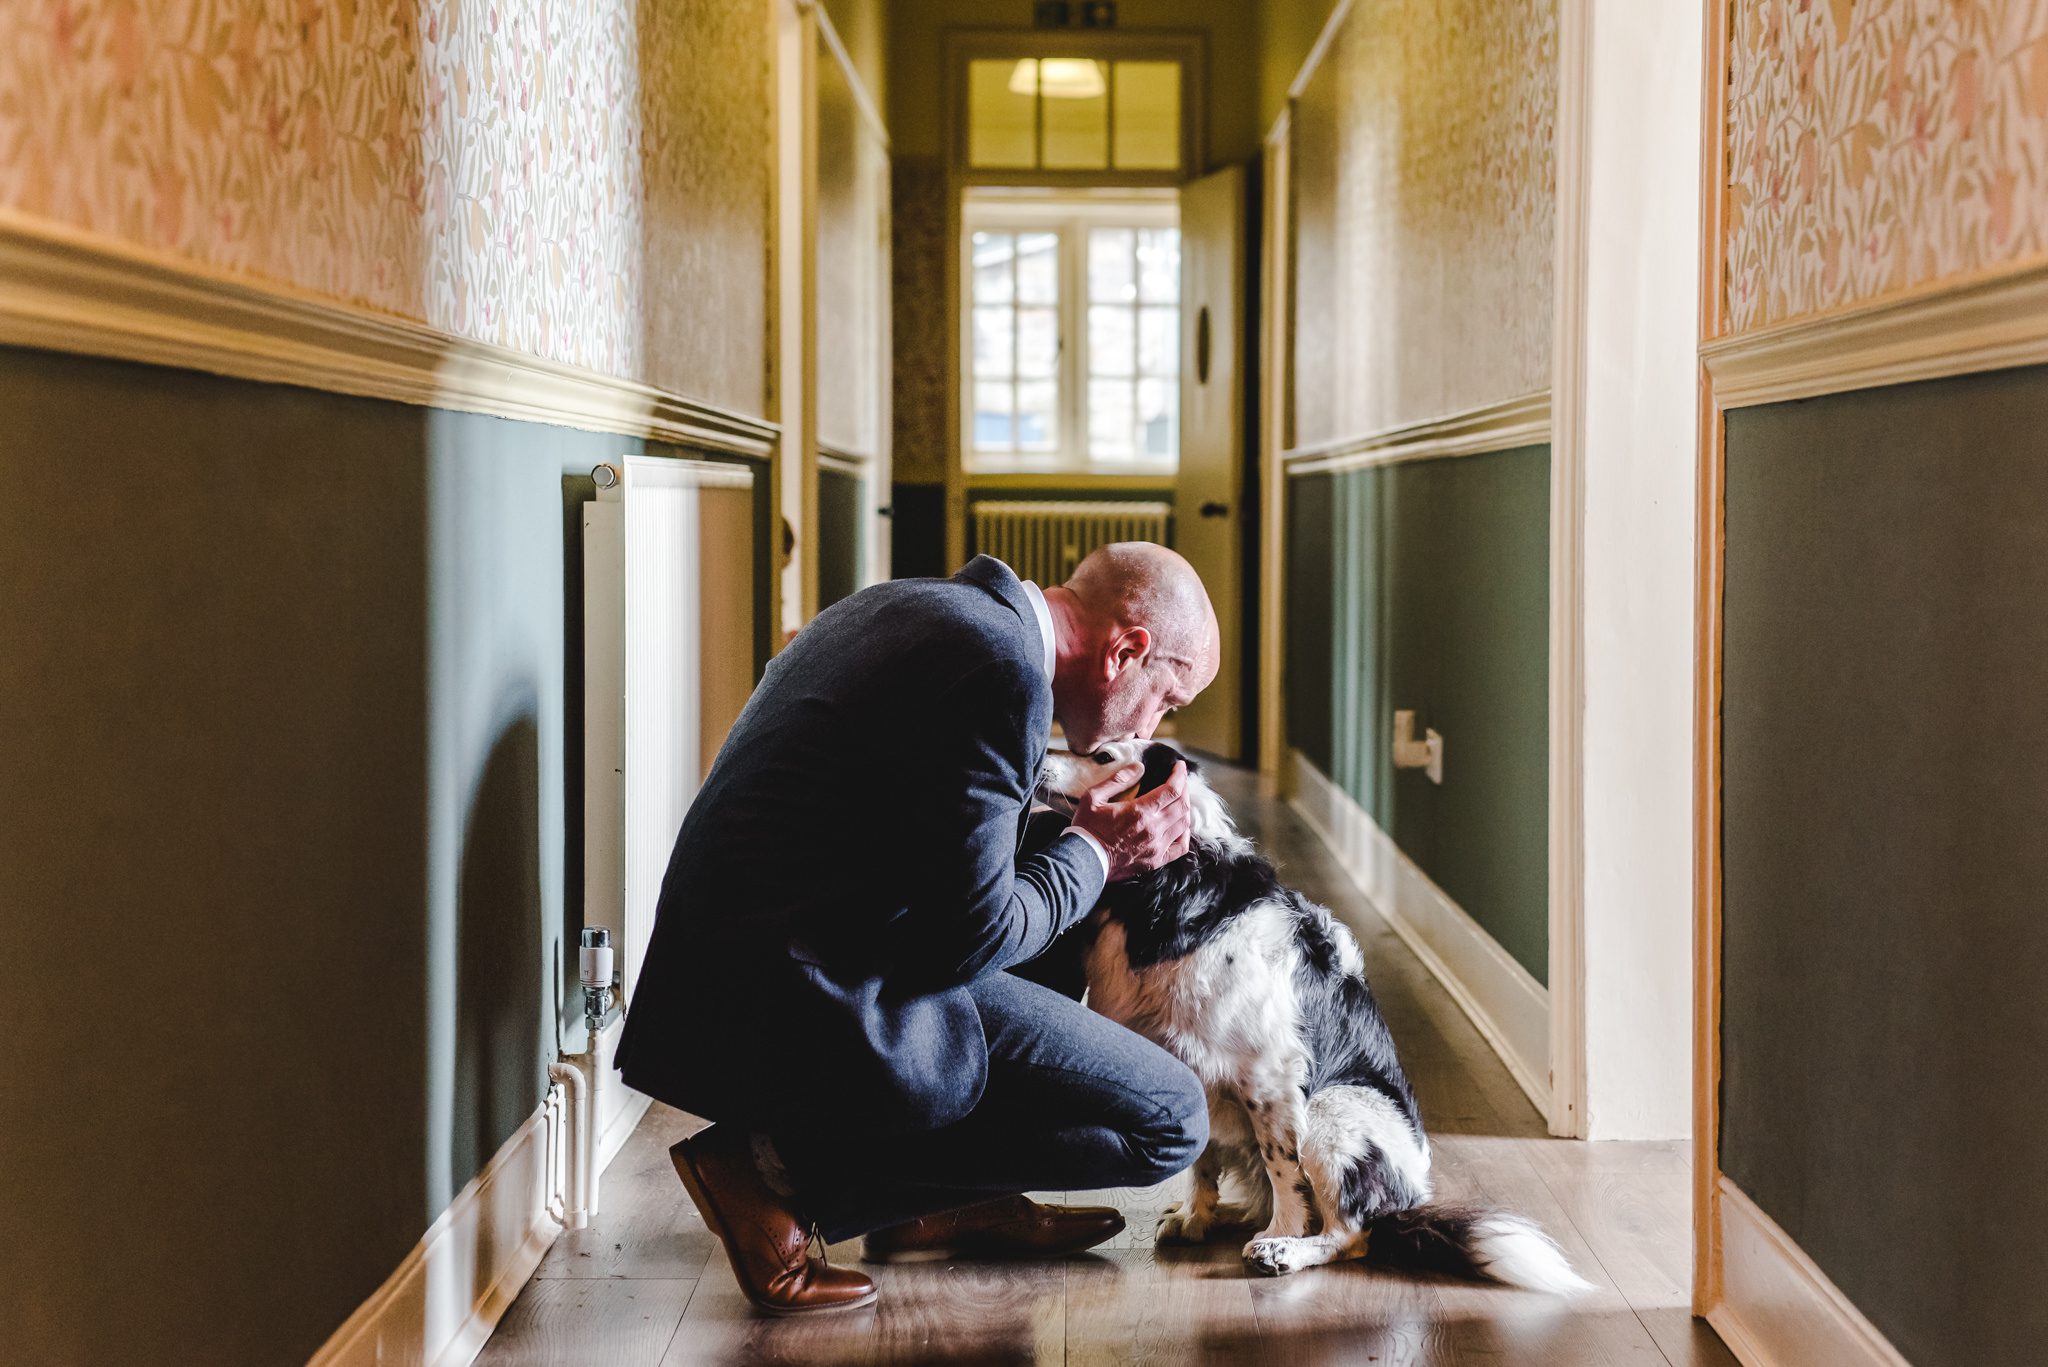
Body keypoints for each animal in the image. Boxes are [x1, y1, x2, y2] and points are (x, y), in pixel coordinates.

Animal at [1040, 741, 1581, 1287]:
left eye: (1102, 756)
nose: (1038, 757)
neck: (1174, 884)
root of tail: (1404, 1206)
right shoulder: (1192, 1071)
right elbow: (1202, 1160)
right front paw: (1195, 1217)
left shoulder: (1269, 1075)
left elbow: (1283, 1170)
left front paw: (1280, 1233)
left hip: (1330, 1112)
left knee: (1350, 1233)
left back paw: (1284, 1248)